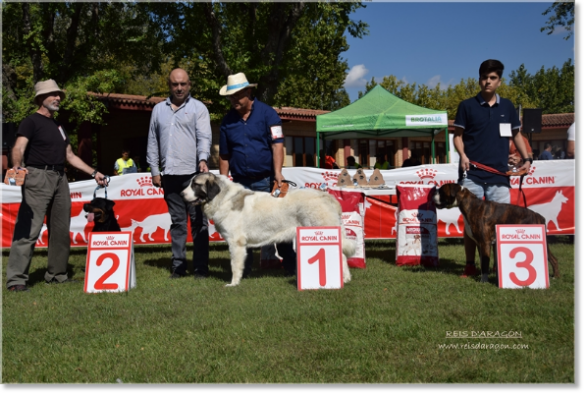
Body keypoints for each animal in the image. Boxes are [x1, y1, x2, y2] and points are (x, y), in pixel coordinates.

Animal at [180, 174, 354, 288]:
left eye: (195, 185)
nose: (181, 194)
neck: (222, 198)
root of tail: (327, 197)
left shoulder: (236, 243)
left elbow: (235, 265)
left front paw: (233, 283)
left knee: (341, 255)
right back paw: (345, 279)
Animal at [432, 184, 560, 284]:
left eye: (441, 191)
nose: (433, 193)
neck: (470, 205)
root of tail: (538, 215)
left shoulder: (485, 243)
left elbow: (485, 262)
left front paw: (483, 281)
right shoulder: (480, 244)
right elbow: (483, 261)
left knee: (553, 259)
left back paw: (555, 277)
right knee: (553, 258)